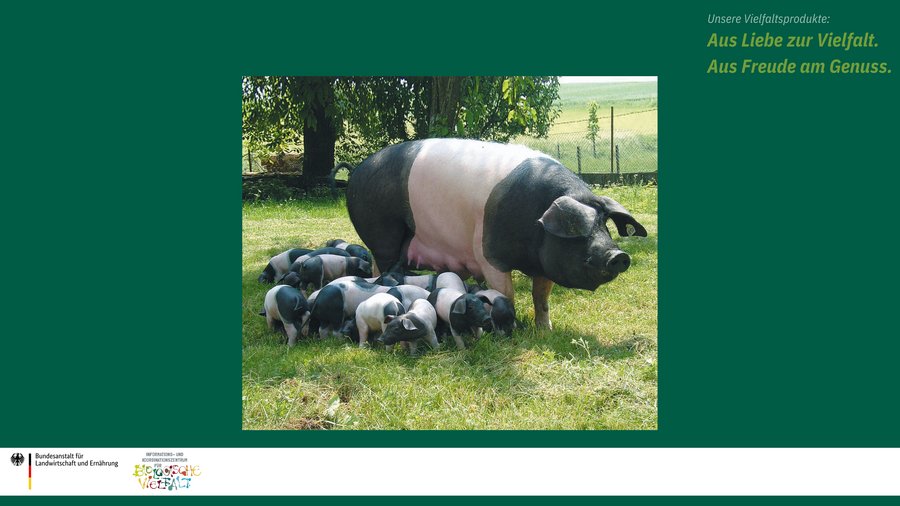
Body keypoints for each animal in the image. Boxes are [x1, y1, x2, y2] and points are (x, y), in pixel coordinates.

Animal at [346, 138, 647, 329]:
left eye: (605, 224)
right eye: (576, 228)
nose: (618, 255)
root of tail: (357, 170)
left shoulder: (544, 264)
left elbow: (542, 297)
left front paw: (545, 330)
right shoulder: (489, 255)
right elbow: (506, 294)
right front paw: (512, 327)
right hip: (382, 233)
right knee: (382, 266)